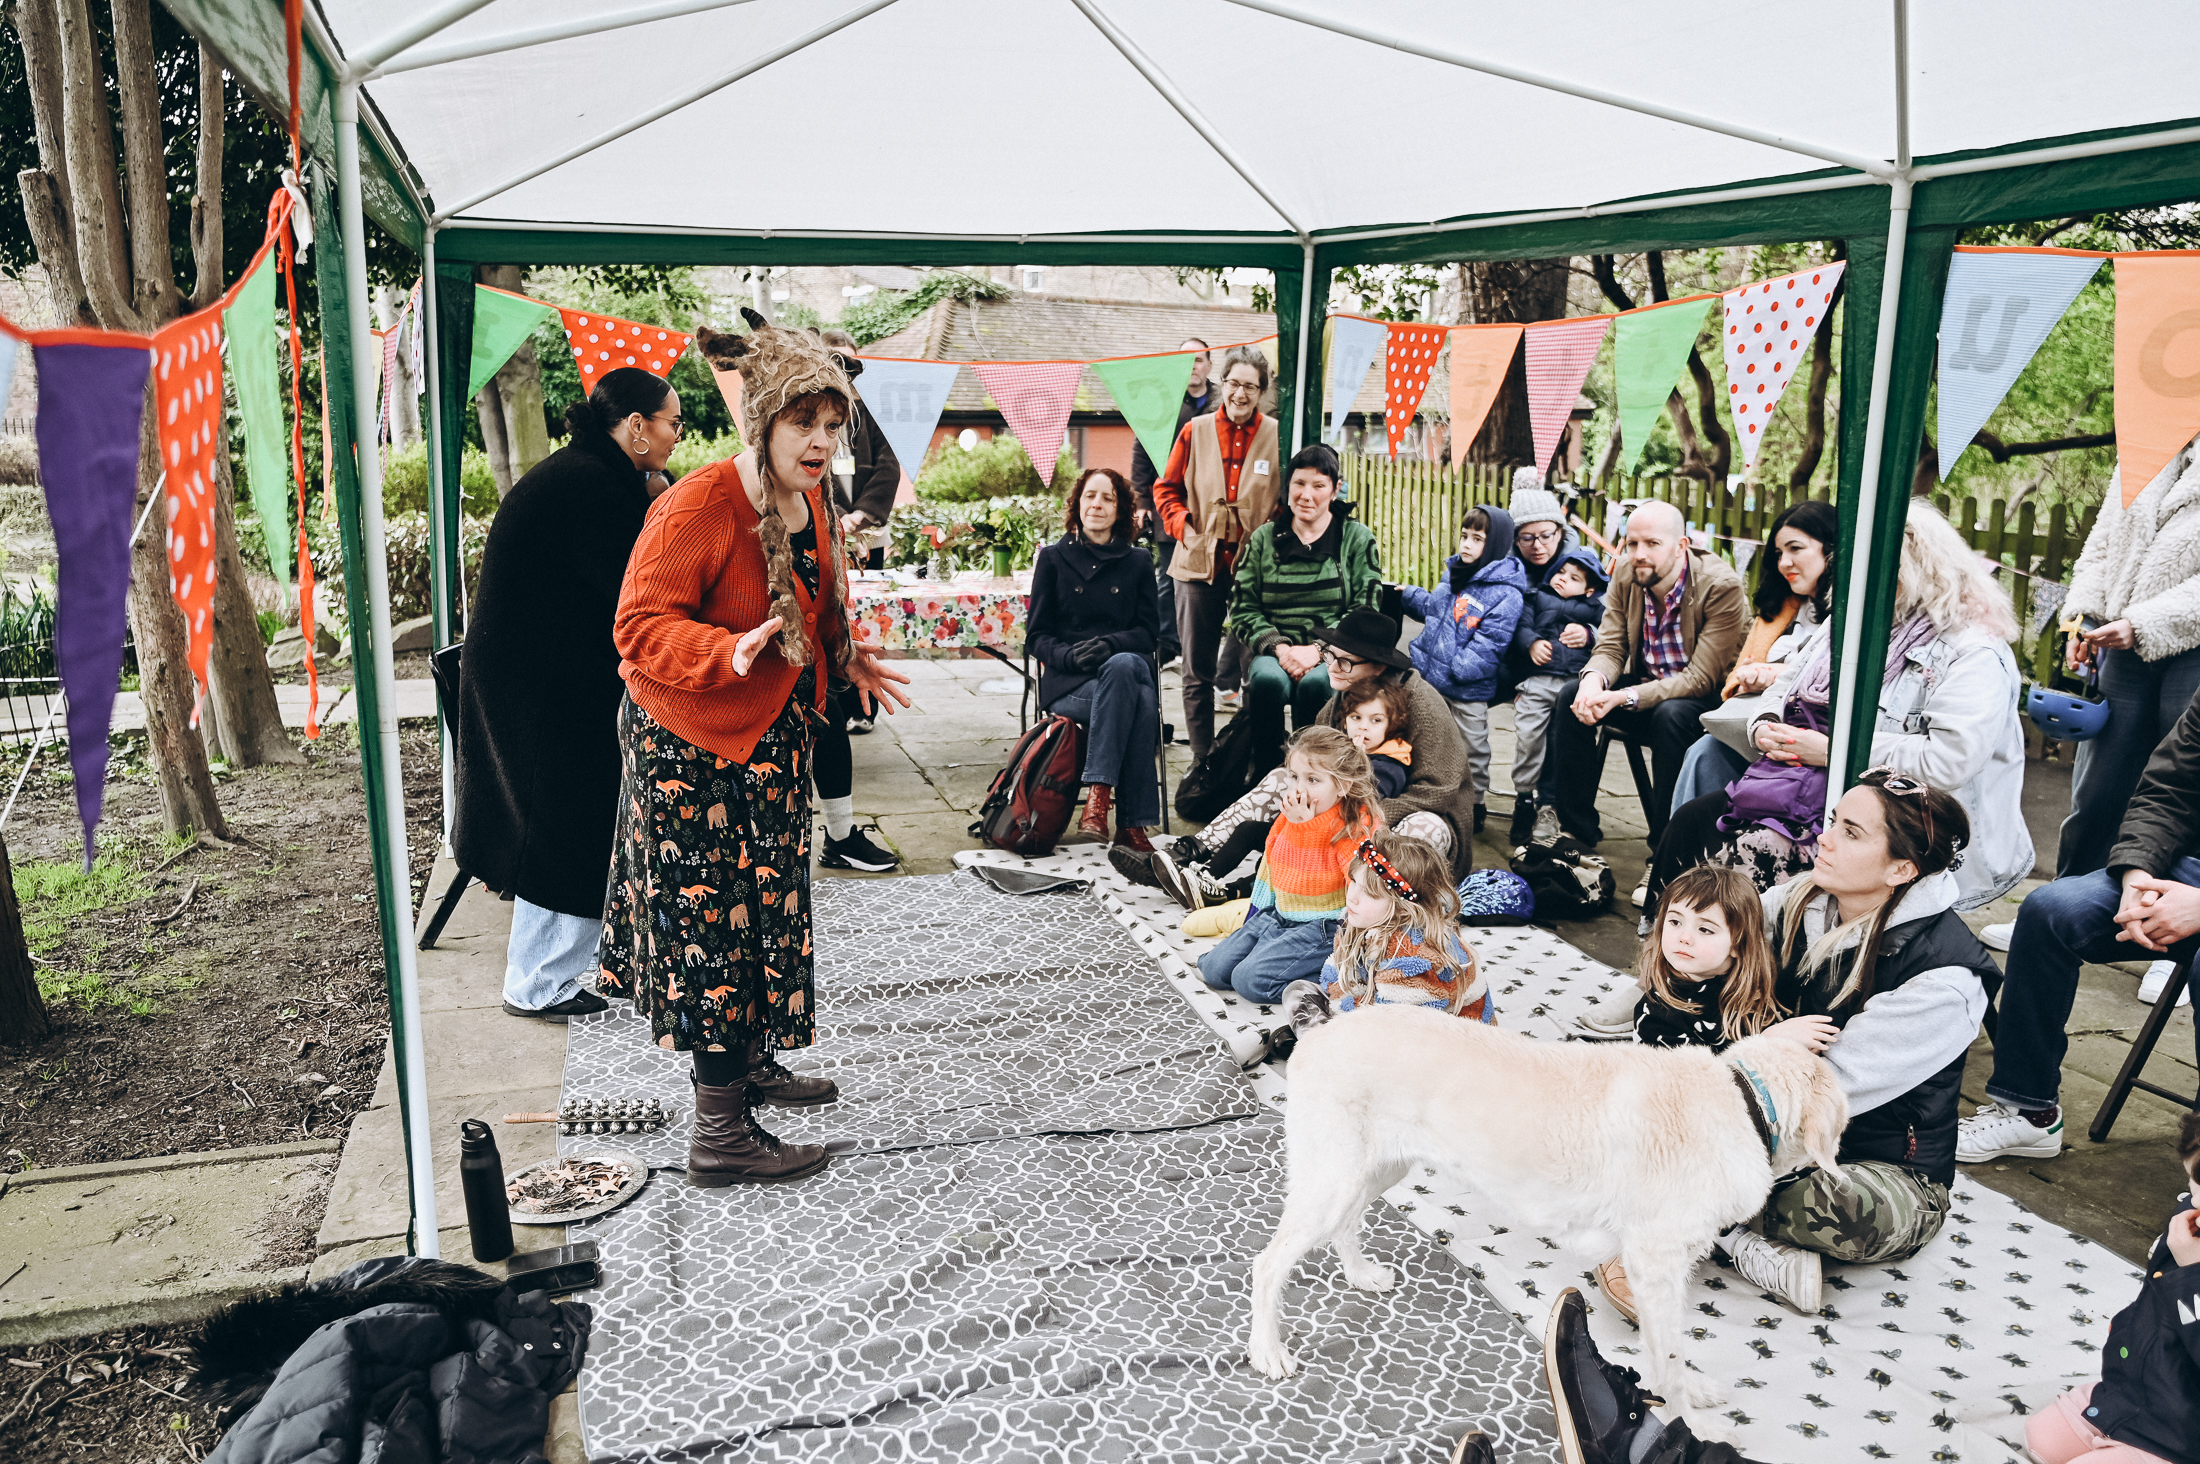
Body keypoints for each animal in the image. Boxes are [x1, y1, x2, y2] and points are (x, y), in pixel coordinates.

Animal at [1249, 1003, 1848, 1408]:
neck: (1745, 1100)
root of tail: (1320, 1031)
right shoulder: (1654, 1264)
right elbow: (1669, 1357)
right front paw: (1685, 1417)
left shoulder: (1666, 1270)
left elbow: (1670, 1345)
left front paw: (1690, 1388)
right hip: (1334, 1179)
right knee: (1268, 1263)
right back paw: (1267, 1350)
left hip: (1374, 1171)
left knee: (1345, 1224)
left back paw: (1358, 1274)